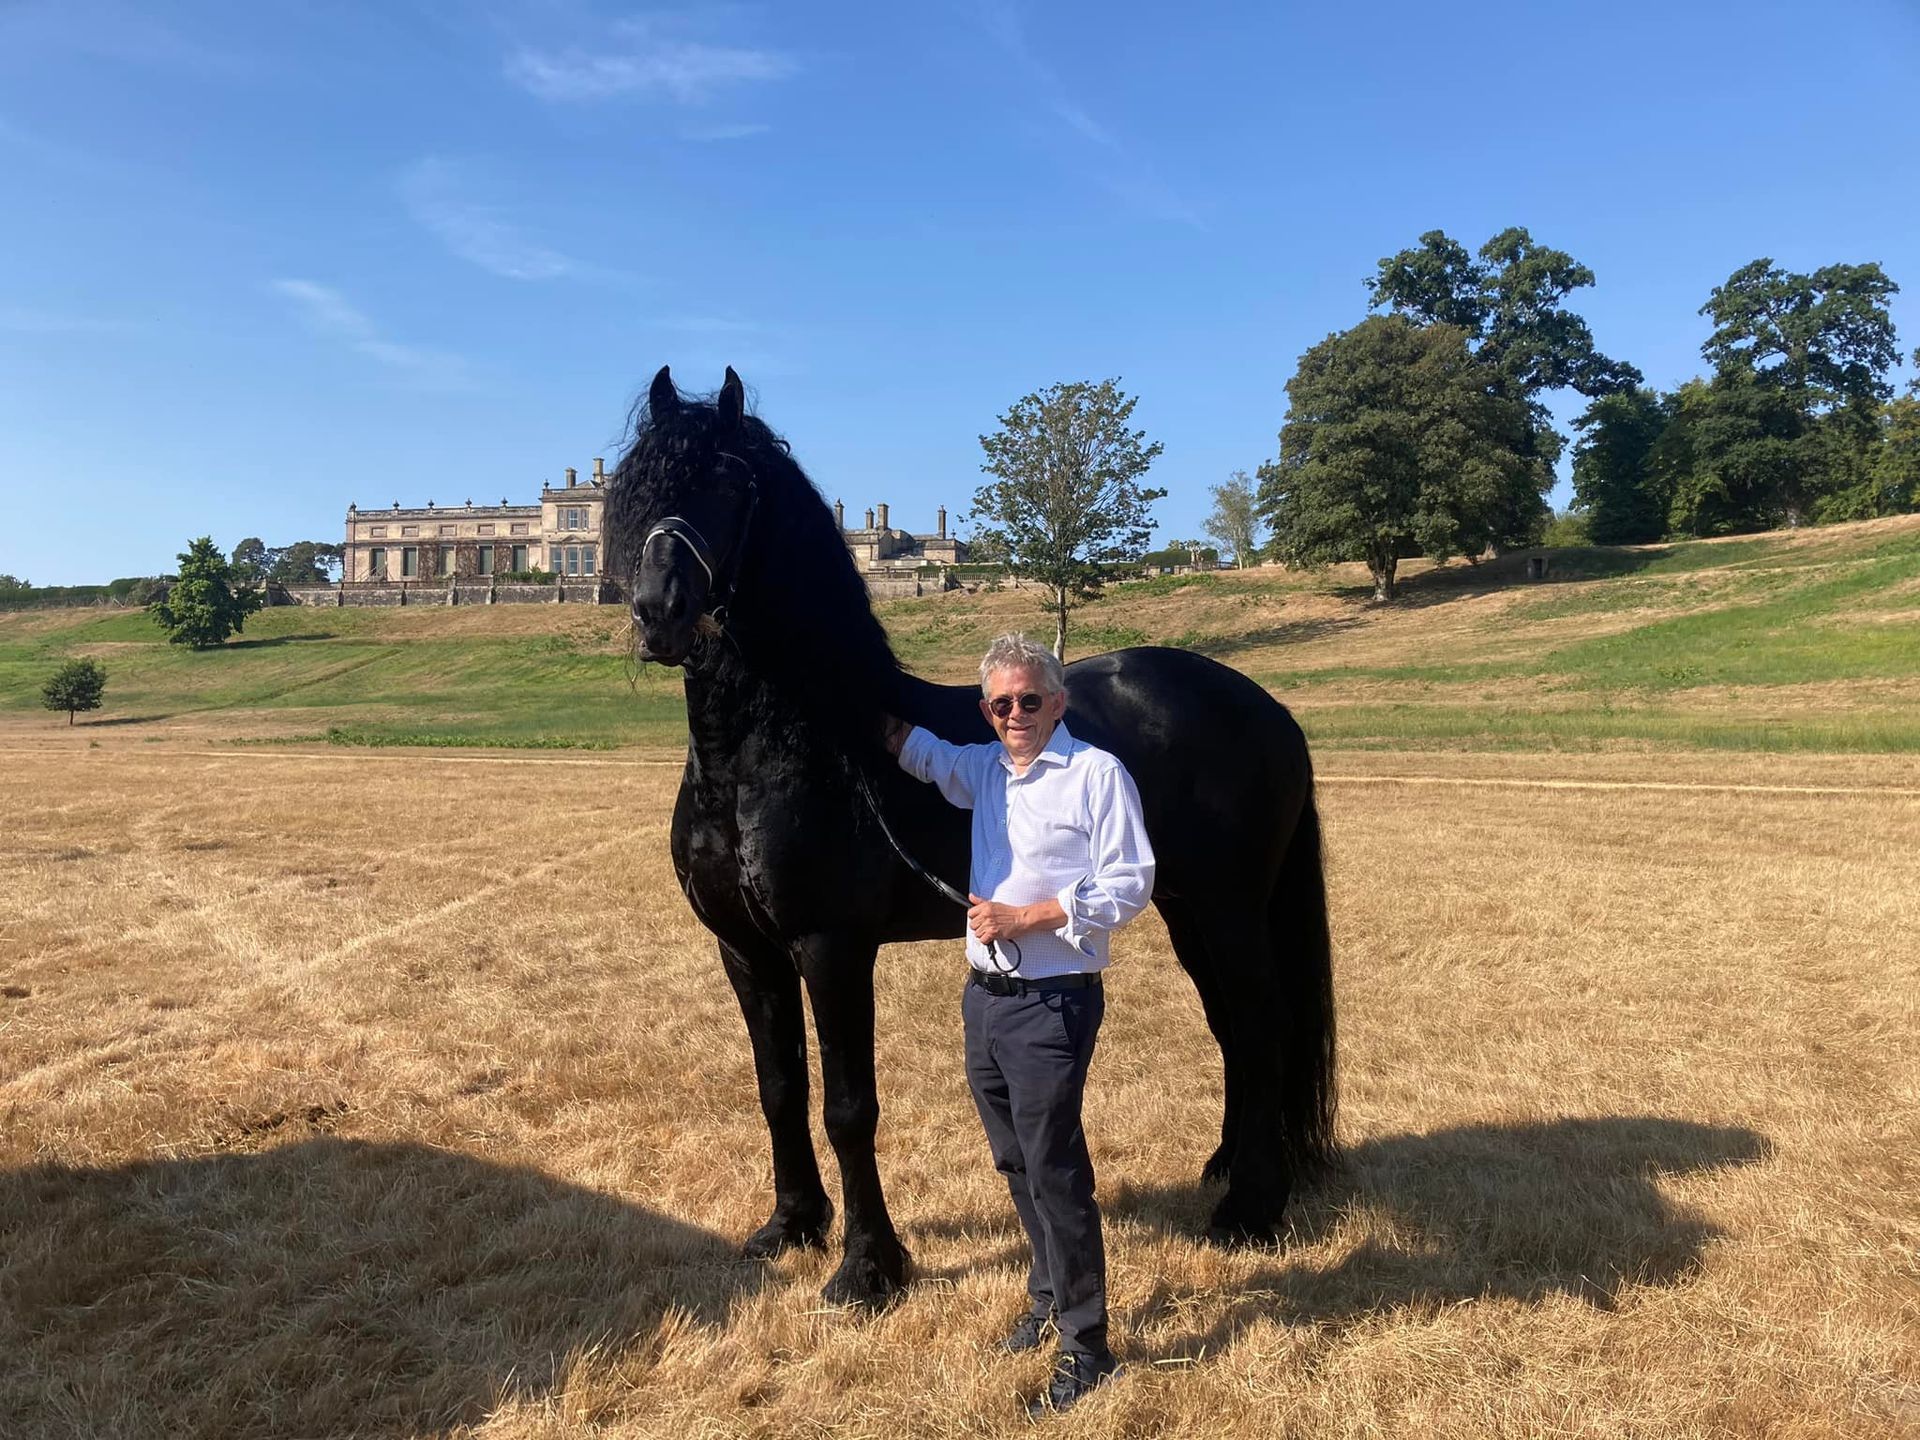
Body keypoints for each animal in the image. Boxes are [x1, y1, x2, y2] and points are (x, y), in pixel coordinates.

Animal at [607, 366, 1335, 1308]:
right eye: (638, 487)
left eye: (730, 485)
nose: (659, 612)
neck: (795, 745)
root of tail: (1266, 707)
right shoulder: (747, 951)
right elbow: (778, 1089)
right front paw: (790, 1227)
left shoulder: (832, 948)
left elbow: (849, 1106)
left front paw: (868, 1269)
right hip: (1187, 911)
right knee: (1235, 1030)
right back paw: (1225, 1169)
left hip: (1229, 909)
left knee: (1262, 1024)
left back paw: (1250, 1209)